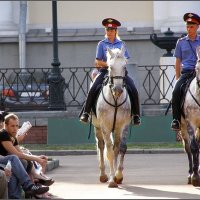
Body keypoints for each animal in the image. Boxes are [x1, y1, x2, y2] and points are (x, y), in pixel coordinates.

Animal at [91, 46, 132, 188]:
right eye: (110, 67)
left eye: (124, 66)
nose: (118, 89)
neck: (115, 100)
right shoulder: (105, 127)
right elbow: (109, 151)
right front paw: (111, 180)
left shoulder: (122, 126)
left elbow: (120, 148)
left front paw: (117, 176)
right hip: (97, 127)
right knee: (101, 146)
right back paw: (103, 175)